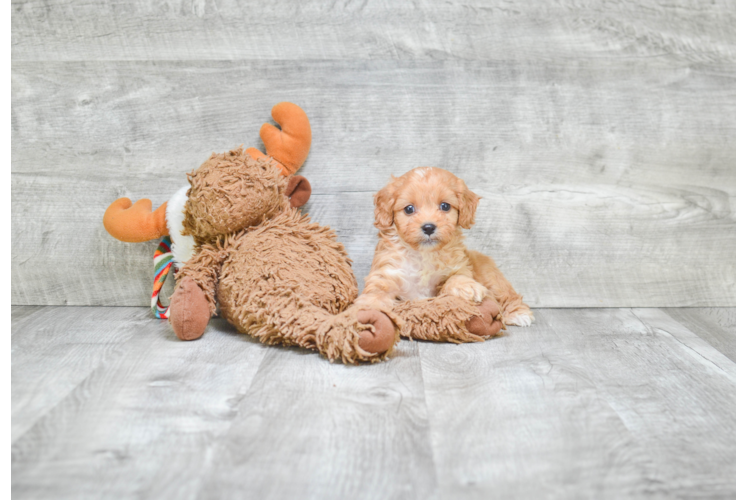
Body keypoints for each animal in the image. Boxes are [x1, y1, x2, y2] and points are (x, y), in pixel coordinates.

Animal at [356, 167, 532, 328]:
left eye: (445, 206)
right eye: (409, 209)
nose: (428, 227)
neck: (423, 255)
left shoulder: (459, 267)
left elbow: (455, 278)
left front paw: (466, 287)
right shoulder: (386, 273)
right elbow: (376, 292)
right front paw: (368, 308)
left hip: (492, 278)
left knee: (508, 295)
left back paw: (518, 314)